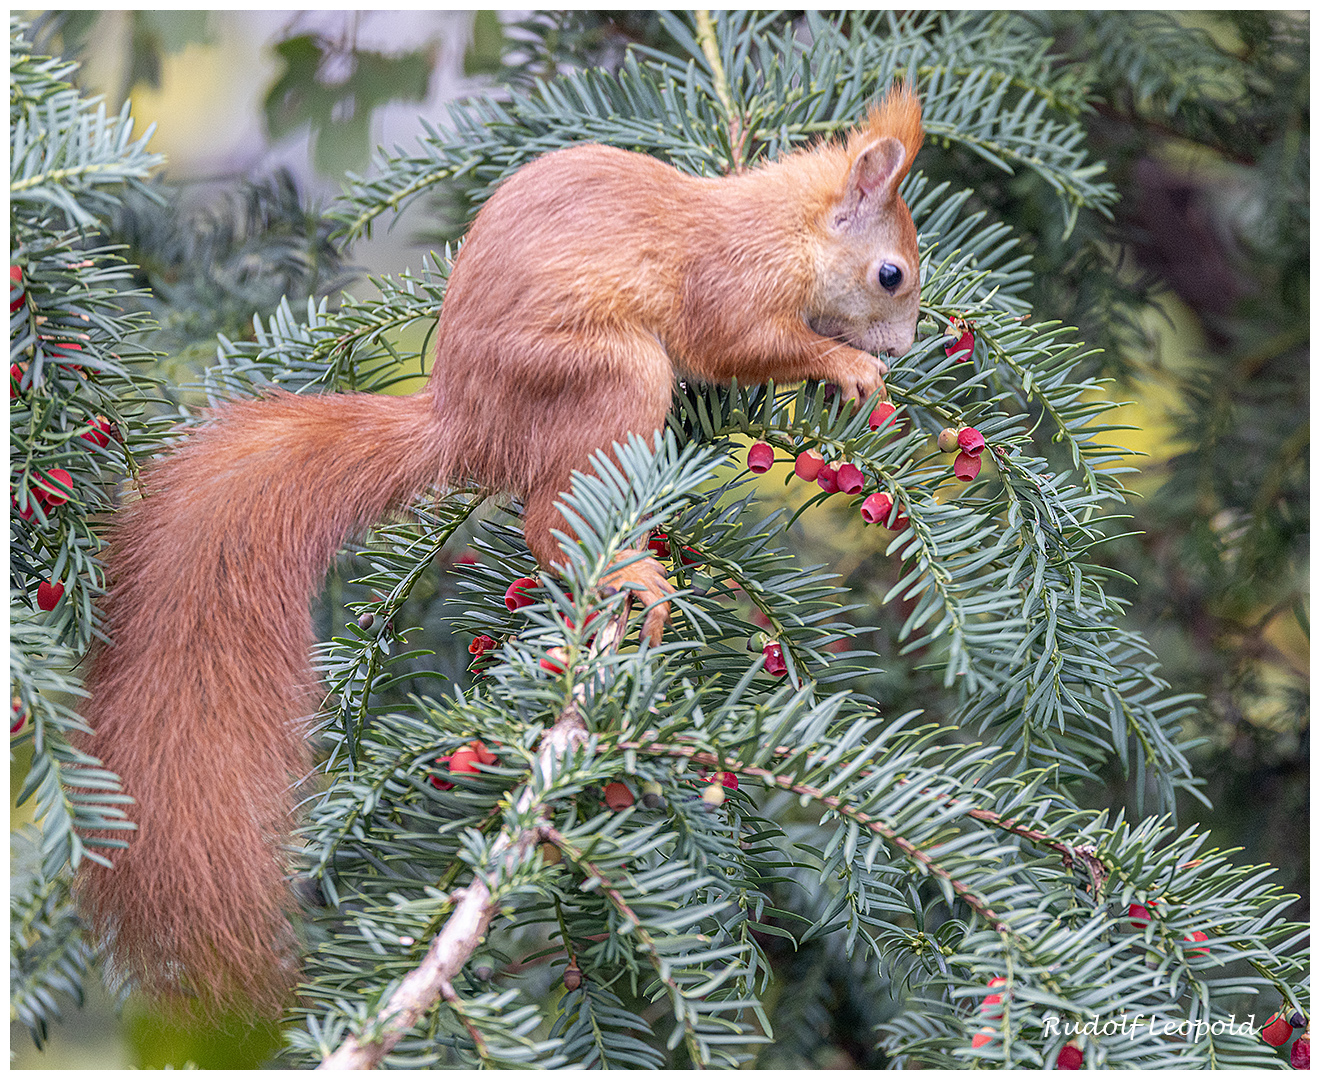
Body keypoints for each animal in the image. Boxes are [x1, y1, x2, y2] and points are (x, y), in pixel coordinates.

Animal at [77, 84, 924, 1008]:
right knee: (549, 523)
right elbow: (737, 344)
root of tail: (467, 421)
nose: (907, 347)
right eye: (890, 273)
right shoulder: (729, 287)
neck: (781, 228)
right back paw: (631, 572)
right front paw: (843, 363)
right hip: (609, 374)